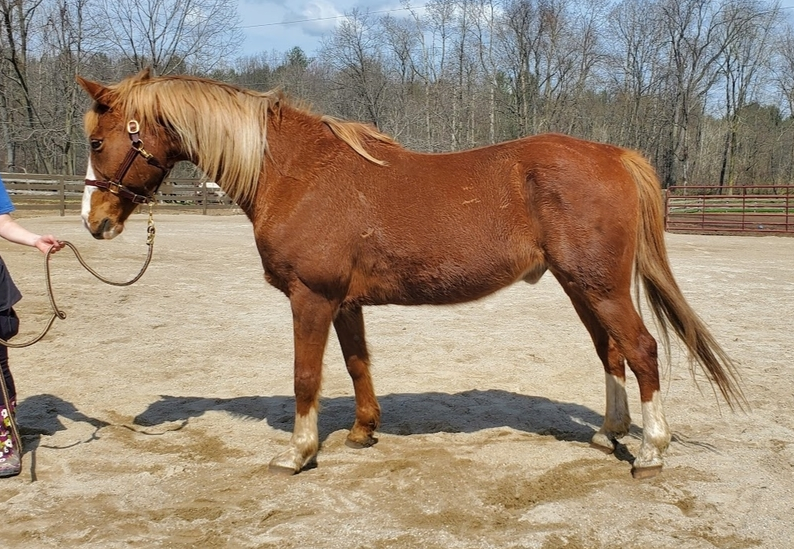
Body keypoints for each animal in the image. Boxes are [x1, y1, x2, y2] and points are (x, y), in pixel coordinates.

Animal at [76, 69, 744, 479]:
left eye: (98, 141)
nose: (94, 223)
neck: (298, 174)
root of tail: (615, 155)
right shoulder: (343, 302)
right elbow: (357, 365)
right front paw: (363, 432)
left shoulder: (310, 297)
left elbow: (304, 376)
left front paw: (298, 453)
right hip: (582, 286)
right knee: (610, 353)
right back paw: (609, 435)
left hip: (599, 286)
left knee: (641, 348)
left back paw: (651, 453)